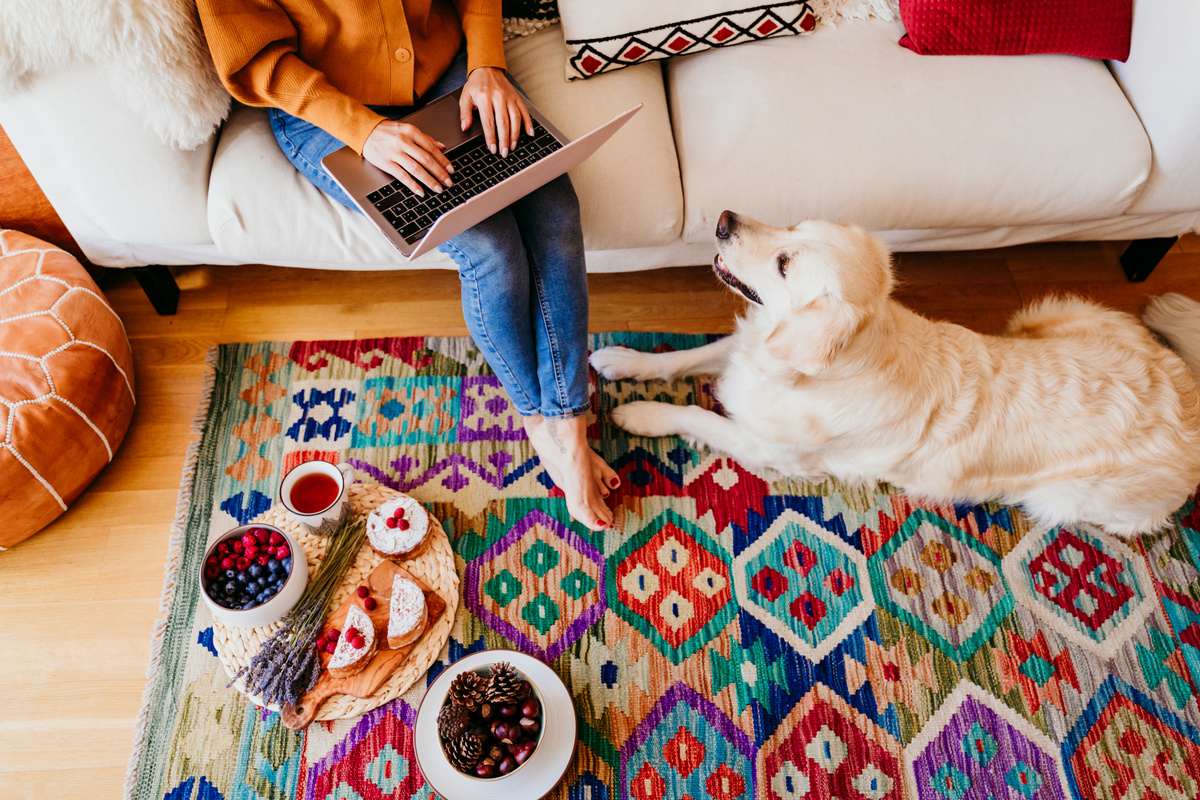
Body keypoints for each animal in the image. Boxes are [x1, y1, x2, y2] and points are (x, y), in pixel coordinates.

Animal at [595, 212, 1200, 537]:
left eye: (785, 263)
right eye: (793, 225)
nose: (722, 220)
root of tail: (1186, 393)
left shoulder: (770, 448)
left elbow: (696, 413)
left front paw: (641, 413)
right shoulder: (750, 350)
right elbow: (684, 358)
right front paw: (623, 361)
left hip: (1068, 499)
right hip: (1051, 311)